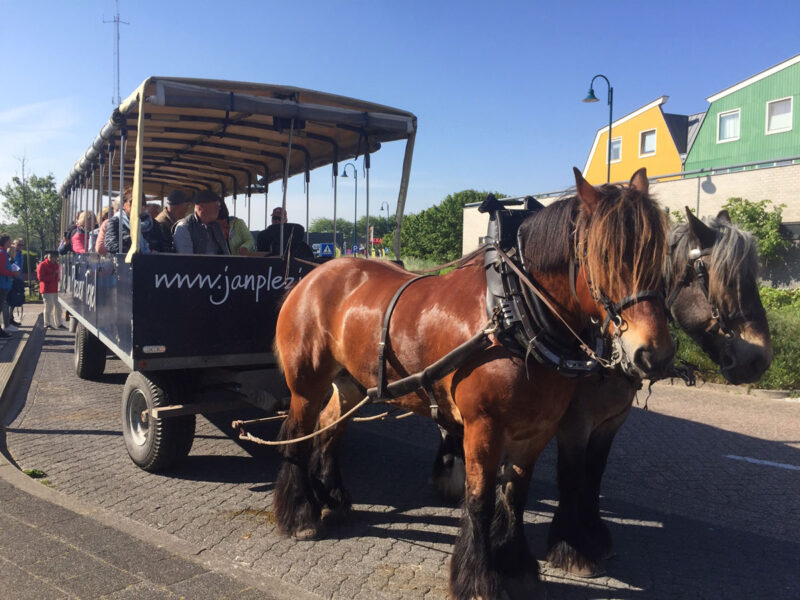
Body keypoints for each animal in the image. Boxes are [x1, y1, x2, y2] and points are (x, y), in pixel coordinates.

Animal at [272, 166, 672, 596]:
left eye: (661, 253)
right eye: (604, 256)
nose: (654, 354)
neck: (512, 311)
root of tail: (315, 274)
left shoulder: (538, 429)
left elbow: (516, 494)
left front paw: (516, 565)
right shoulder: (484, 427)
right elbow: (480, 499)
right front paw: (479, 577)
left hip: (350, 382)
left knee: (331, 427)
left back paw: (333, 497)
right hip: (306, 383)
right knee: (296, 432)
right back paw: (300, 514)